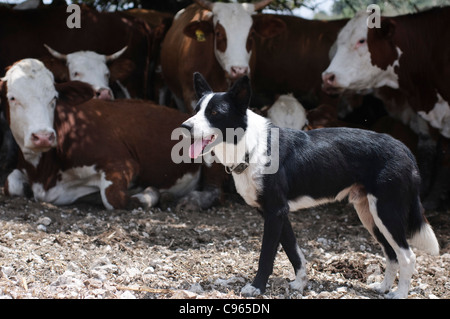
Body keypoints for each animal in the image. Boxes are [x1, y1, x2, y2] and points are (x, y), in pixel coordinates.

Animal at [1, 59, 202, 210]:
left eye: (54, 98)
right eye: (12, 98)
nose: (43, 136)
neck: (44, 173)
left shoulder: (122, 162)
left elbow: (114, 198)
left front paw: (150, 193)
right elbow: (10, 183)